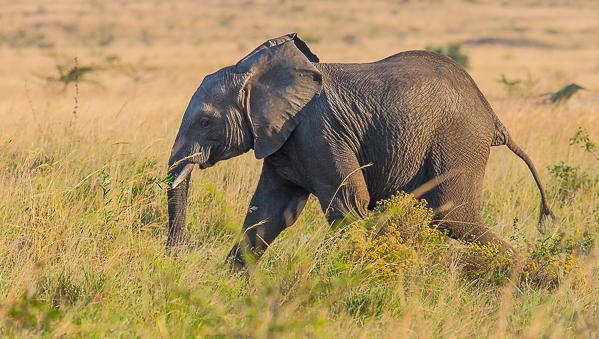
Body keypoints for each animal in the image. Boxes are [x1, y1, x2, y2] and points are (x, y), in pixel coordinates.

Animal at [166, 33, 556, 266]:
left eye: (205, 121)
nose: (176, 253)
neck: (258, 71)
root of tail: (491, 115)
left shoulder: (319, 132)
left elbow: (348, 204)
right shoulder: (285, 140)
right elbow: (269, 213)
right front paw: (228, 287)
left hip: (458, 139)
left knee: (454, 217)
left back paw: (526, 275)